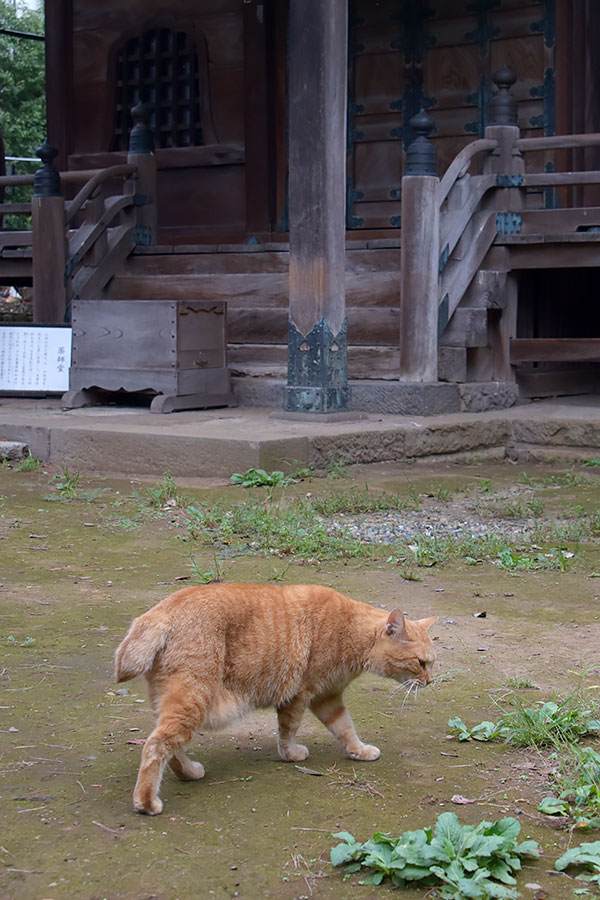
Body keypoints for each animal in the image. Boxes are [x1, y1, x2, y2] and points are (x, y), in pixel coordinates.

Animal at [115, 584, 436, 816]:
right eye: (420, 663)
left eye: (431, 663)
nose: (431, 681)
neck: (351, 631)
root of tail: (159, 612)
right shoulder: (300, 695)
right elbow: (288, 731)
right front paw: (291, 754)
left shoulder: (328, 698)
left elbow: (345, 728)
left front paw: (358, 750)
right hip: (194, 701)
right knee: (157, 745)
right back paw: (146, 803)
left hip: (177, 704)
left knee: (169, 745)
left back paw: (190, 772)